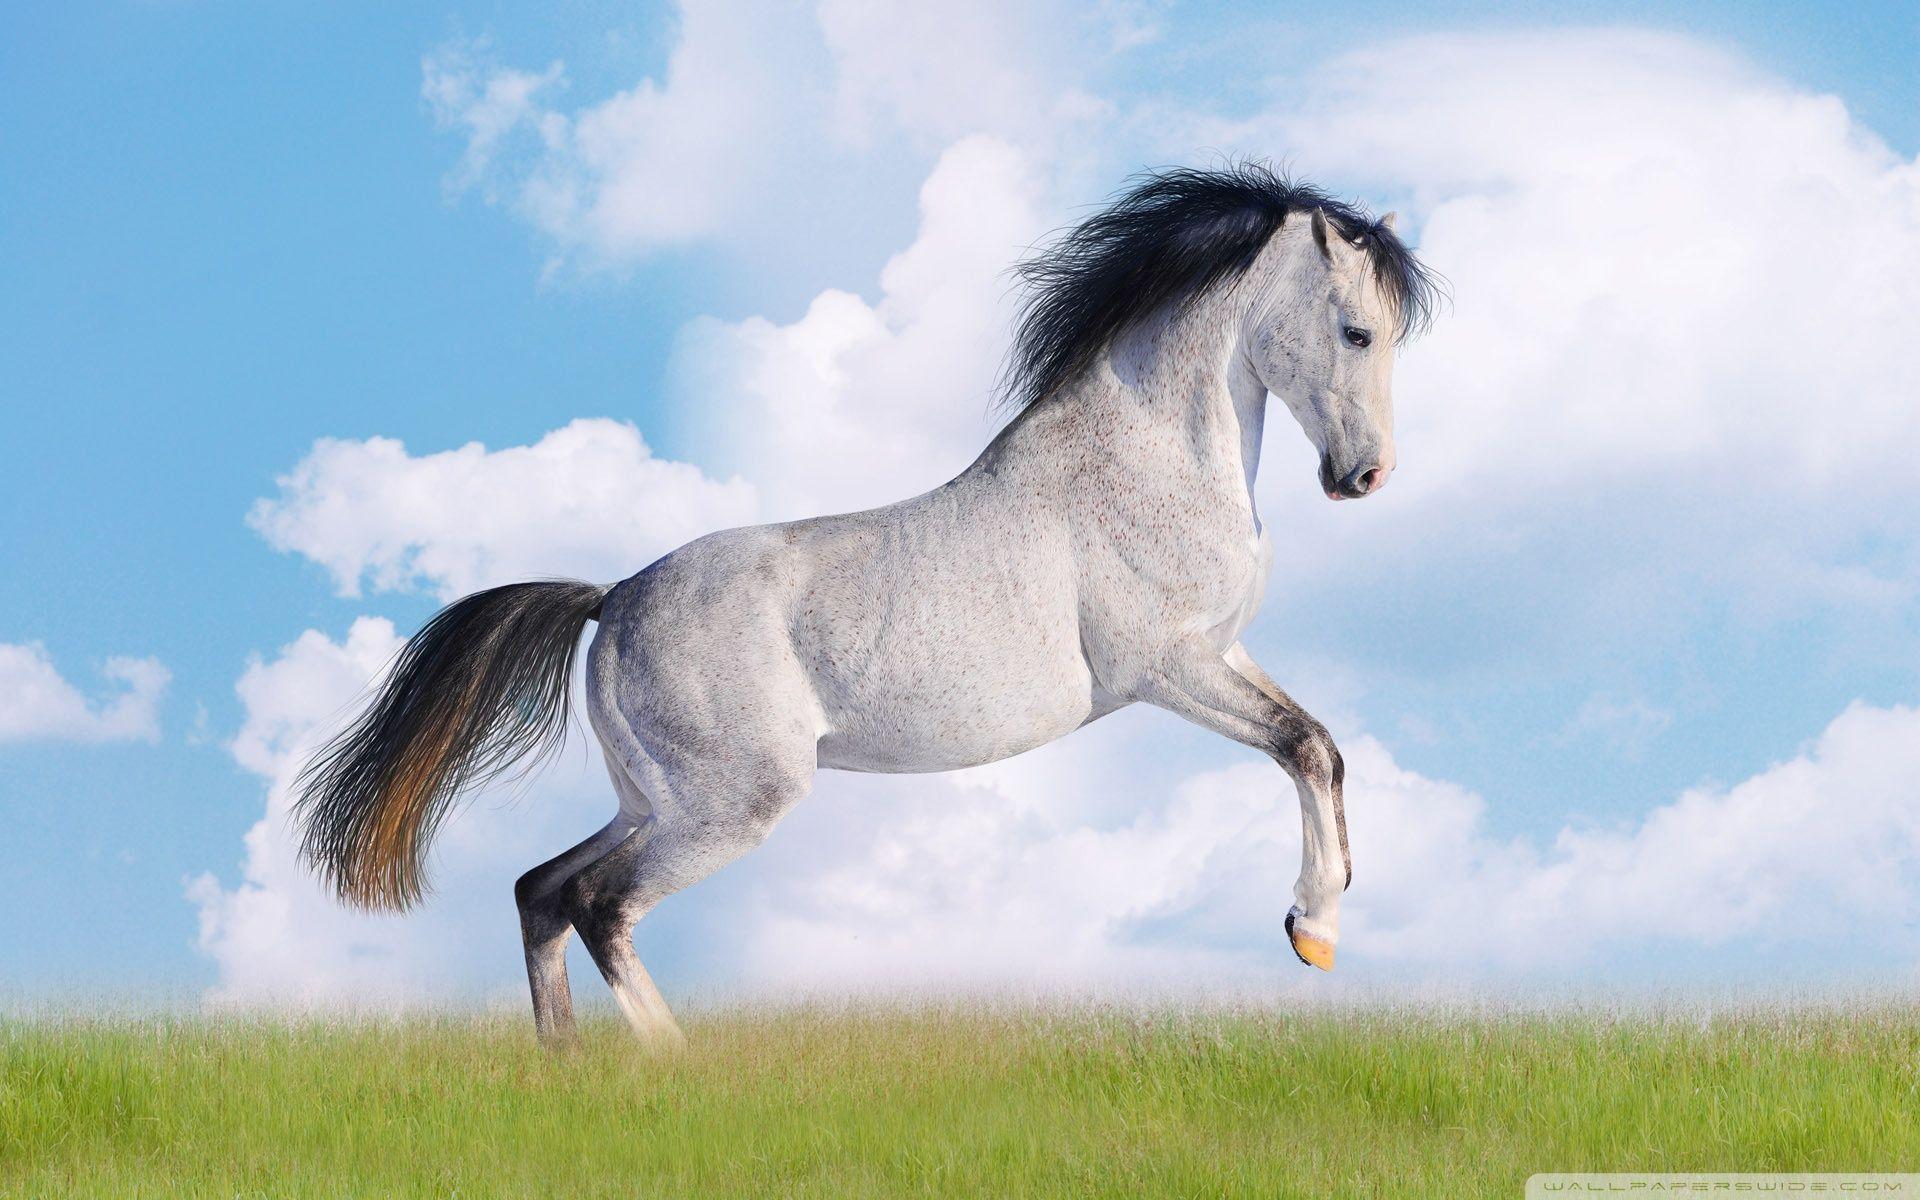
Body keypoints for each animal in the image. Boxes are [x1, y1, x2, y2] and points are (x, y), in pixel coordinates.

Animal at [293, 164, 1442, 1047]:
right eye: (1356, 332)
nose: (1365, 477)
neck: (1146, 459)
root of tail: (612, 600)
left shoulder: (1221, 656)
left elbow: (1324, 746)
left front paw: (1321, 926)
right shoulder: (1165, 668)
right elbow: (1301, 746)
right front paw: (1312, 928)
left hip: (655, 798)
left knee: (541, 888)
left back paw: (566, 1068)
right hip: (730, 805)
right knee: (597, 904)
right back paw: (674, 1071)